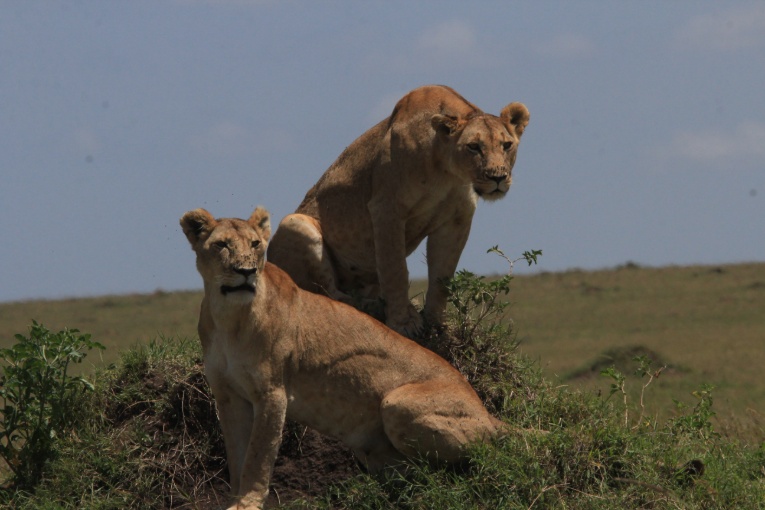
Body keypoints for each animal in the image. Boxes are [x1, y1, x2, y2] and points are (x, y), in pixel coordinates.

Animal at [181, 206, 508, 510]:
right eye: (222, 245)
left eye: (256, 244)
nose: (246, 271)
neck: (229, 317)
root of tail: (489, 415)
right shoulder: (228, 395)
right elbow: (237, 455)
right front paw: (235, 498)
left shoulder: (272, 393)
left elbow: (258, 455)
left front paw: (247, 502)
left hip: (397, 403)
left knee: (459, 468)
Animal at [266, 84, 528, 334]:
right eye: (474, 147)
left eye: (507, 145)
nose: (497, 177)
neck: (446, 171)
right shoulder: (386, 209)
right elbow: (396, 270)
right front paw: (404, 323)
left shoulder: (457, 218)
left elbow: (442, 278)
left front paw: (437, 325)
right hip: (294, 223)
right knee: (329, 294)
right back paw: (373, 306)